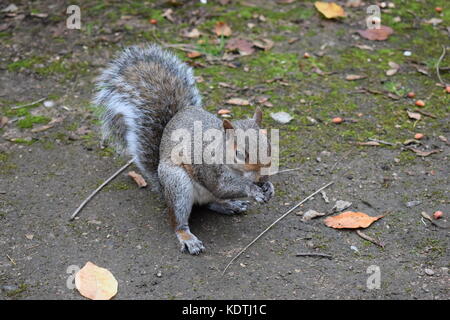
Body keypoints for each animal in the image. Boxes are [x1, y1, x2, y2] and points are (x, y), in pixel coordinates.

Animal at [94, 43, 274, 254]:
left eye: (269, 146)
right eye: (238, 154)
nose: (261, 178)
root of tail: (162, 186)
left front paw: (269, 187)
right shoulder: (208, 169)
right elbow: (222, 186)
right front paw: (252, 189)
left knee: (210, 202)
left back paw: (230, 205)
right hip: (177, 185)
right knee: (179, 219)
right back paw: (188, 237)